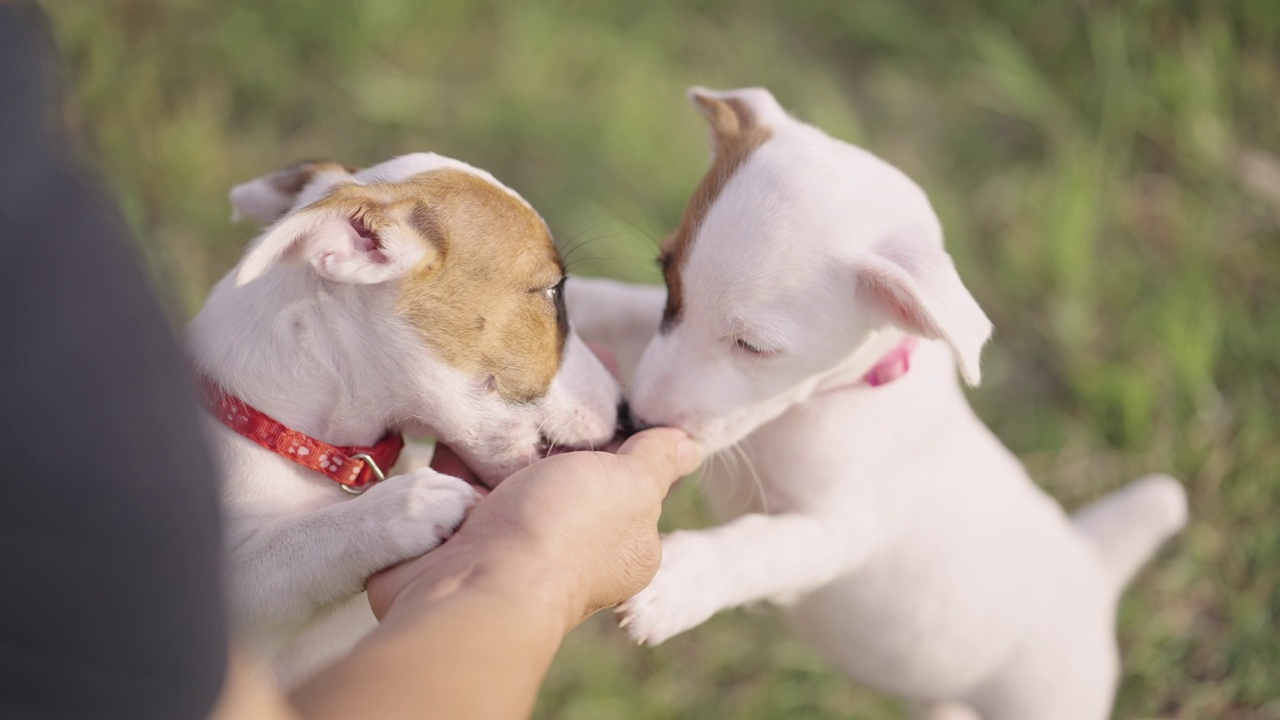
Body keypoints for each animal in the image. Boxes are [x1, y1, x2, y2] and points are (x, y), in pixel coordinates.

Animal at [570, 88, 1187, 717]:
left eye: (755, 347)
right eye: (668, 281)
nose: (639, 418)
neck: (820, 403)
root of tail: (1092, 572)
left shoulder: (840, 531)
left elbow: (760, 546)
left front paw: (679, 583)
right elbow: (624, 307)